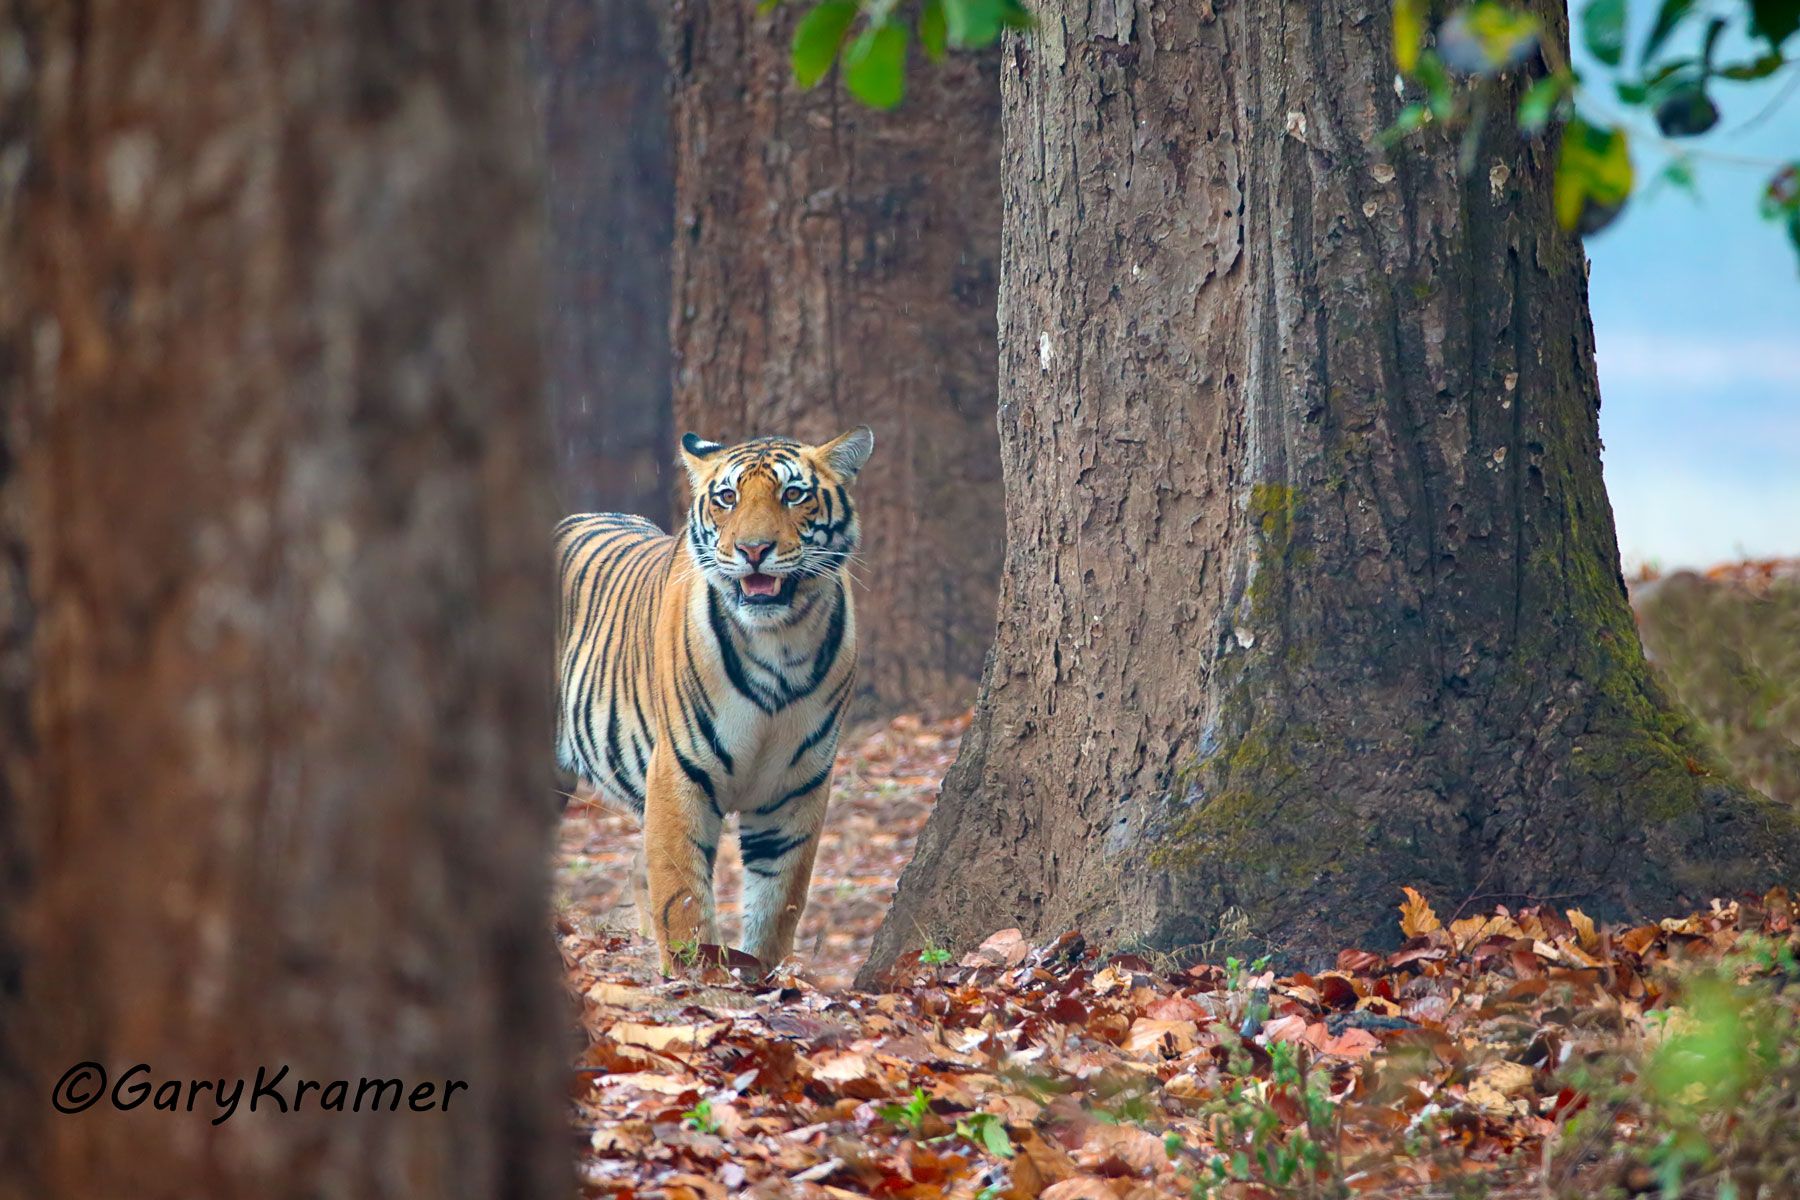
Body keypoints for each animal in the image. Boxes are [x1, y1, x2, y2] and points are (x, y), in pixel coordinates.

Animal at [556, 427, 874, 973]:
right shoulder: (679, 770)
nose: (753, 549)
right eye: (727, 498)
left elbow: (779, 901)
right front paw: (696, 976)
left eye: (794, 494)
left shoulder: (797, 786)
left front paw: (762, 974)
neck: (780, 644)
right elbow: (681, 892)